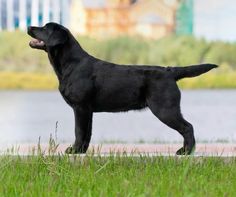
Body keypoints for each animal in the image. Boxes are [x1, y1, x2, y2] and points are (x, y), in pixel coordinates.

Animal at [27, 23, 218, 155]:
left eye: (45, 28)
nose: (29, 26)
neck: (70, 64)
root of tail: (169, 71)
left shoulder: (80, 107)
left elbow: (79, 131)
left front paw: (73, 150)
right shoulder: (87, 110)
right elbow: (87, 133)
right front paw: (82, 151)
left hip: (165, 108)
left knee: (187, 127)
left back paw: (185, 152)